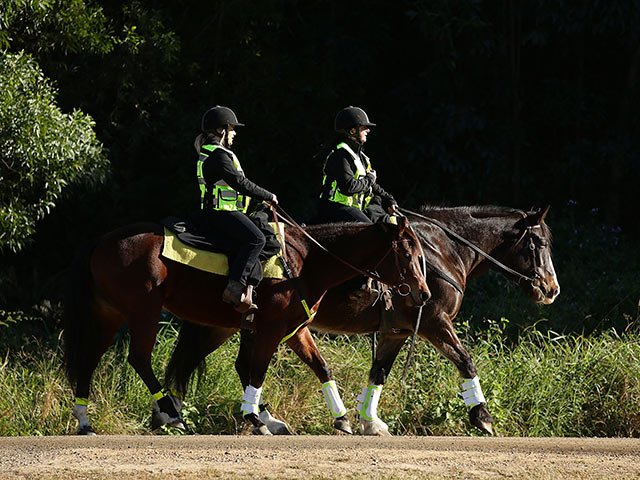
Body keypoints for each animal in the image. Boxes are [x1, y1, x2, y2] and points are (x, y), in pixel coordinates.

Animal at [62, 216, 430, 434]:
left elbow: (320, 367)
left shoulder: (294, 329)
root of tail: (100, 241)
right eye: (407, 254)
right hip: (144, 312)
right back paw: (170, 412)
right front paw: (254, 416)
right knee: (139, 358)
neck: (306, 262)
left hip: (110, 314)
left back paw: (84, 421)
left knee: (90, 359)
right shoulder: (270, 328)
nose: (424, 294)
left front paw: (340, 418)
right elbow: (257, 371)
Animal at [162, 205, 556, 436]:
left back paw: (261, 418)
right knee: (230, 364)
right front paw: (482, 417)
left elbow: (378, 373)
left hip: (240, 325)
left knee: (240, 365)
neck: (440, 252)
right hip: (226, 325)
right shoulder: (434, 322)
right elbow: (465, 361)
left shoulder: (397, 331)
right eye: (539, 243)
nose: (551, 289)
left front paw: (370, 420)